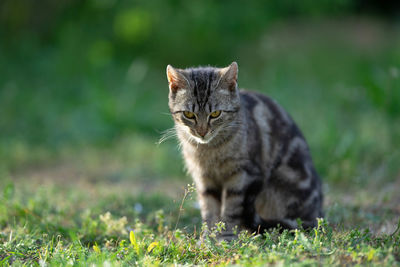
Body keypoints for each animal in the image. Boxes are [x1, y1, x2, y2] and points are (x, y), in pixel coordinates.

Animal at [167, 62, 324, 241]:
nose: (202, 132)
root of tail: (318, 213)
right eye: (188, 114)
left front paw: (226, 236)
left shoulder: (242, 175)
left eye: (215, 114)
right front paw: (208, 238)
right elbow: (209, 210)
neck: (210, 150)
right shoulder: (204, 179)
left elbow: (231, 209)